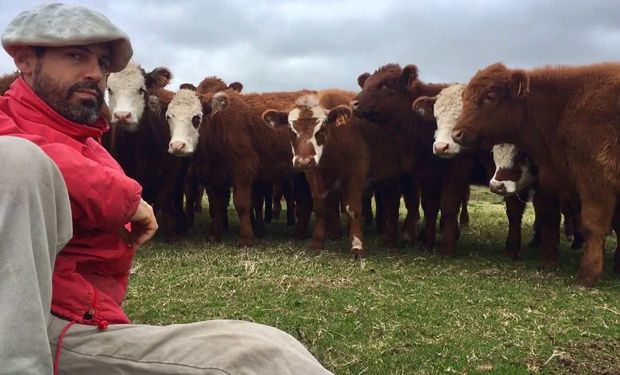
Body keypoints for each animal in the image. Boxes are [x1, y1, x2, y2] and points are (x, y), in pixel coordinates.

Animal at [450, 62, 620, 288]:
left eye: (490, 96)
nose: (456, 133)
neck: (561, 110)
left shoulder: (595, 181)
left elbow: (592, 225)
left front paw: (588, 275)